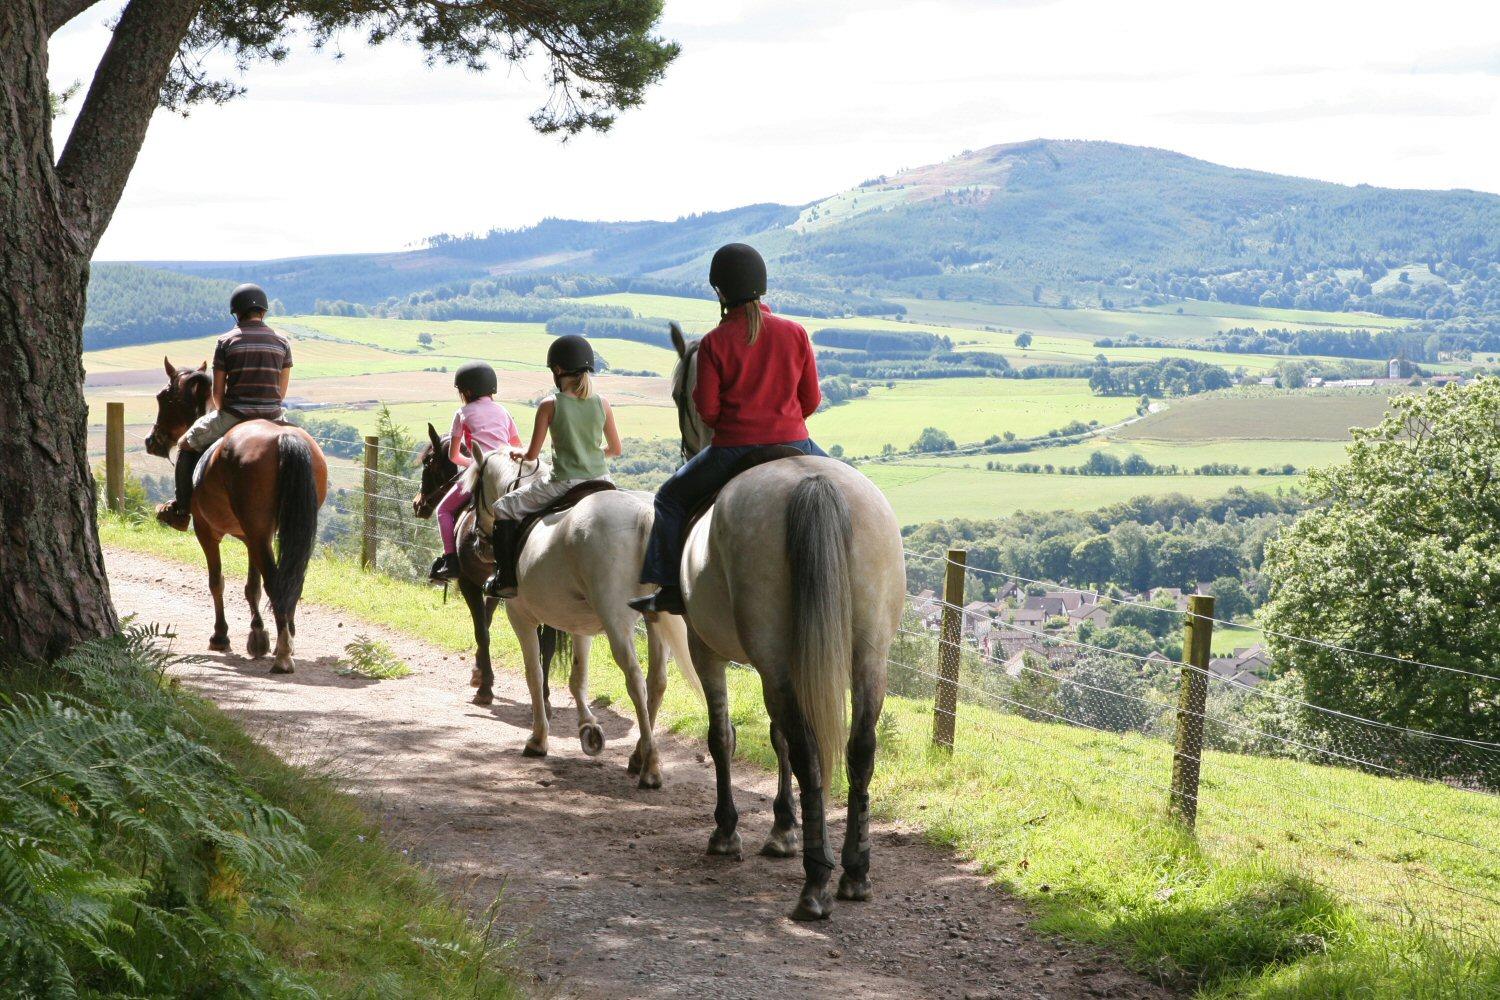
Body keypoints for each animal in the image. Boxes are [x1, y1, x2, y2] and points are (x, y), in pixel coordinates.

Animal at [144, 358, 327, 671]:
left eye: (163, 397)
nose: (151, 441)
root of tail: (284, 438)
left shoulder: (208, 531)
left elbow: (217, 581)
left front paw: (220, 636)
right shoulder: (252, 536)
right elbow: (252, 586)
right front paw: (258, 636)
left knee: (276, 582)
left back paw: (283, 654)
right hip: (279, 531)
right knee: (291, 580)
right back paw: (286, 637)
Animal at [465, 446, 699, 791]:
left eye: (472, 493)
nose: (477, 544)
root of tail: (644, 514)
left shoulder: (520, 617)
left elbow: (534, 674)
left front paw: (538, 739)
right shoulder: (579, 626)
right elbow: (578, 678)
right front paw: (589, 729)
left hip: (616, 621)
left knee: (635, 680)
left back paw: (651, 769)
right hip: (655, 618)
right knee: (656, 682)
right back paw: (638, 756)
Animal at [666, 325, 900, 917]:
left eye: (680, 395)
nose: (686, 447)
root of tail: (814, 485)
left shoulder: (708, 648)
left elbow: (723, 735)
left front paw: (729, 832)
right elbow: (776, 736)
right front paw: (782, 828)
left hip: (772, 655)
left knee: (810, 747)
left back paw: (815, 882)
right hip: (868, 654)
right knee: (858, 749)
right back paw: (855, 872)